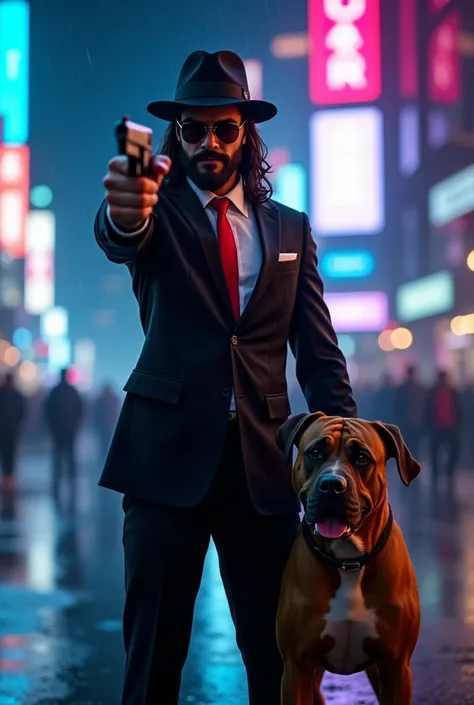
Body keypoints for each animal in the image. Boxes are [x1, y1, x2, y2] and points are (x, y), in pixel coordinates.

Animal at [276, 412, 420, 704]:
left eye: (362, 458)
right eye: (315, 452)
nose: (332, 485)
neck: (349, 562)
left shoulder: (397, 667)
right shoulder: (296, 669)